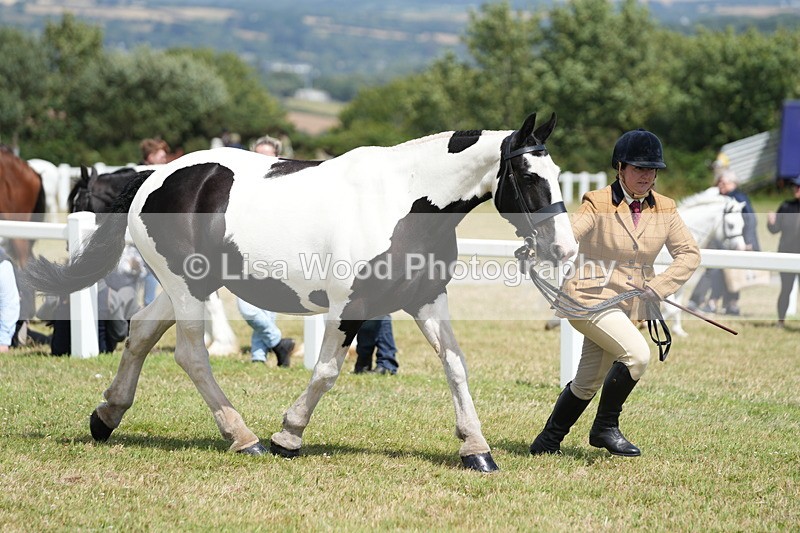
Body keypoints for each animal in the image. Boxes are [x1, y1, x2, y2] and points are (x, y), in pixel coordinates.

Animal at [25, 112, 577, 472]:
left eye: (557, 175)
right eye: (527, 175)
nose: (564, 248)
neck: (405, 200)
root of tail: (153, 177)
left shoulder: (426, 299)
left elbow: (456, 365)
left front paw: (476, 449)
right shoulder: (350, 306)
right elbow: (328, 371)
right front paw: (288, 435)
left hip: (191, 284)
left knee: (140, 333)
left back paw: (106, 417)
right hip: (186, 287)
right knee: (190, 354)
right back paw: (243, 437)